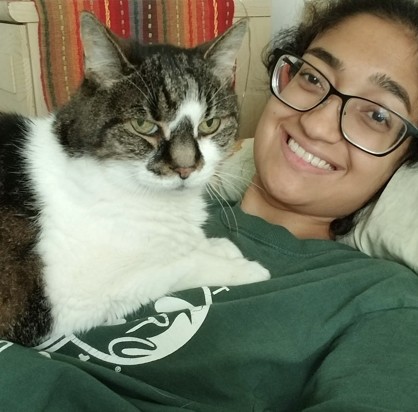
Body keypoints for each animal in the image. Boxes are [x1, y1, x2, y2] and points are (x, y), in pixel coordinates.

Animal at [0, 12, 268, 348]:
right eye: (143, 125)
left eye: (210, 124)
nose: (185, 168)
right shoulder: (75, 297)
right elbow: (181, 264)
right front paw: (243, 268)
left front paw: (215, 245)